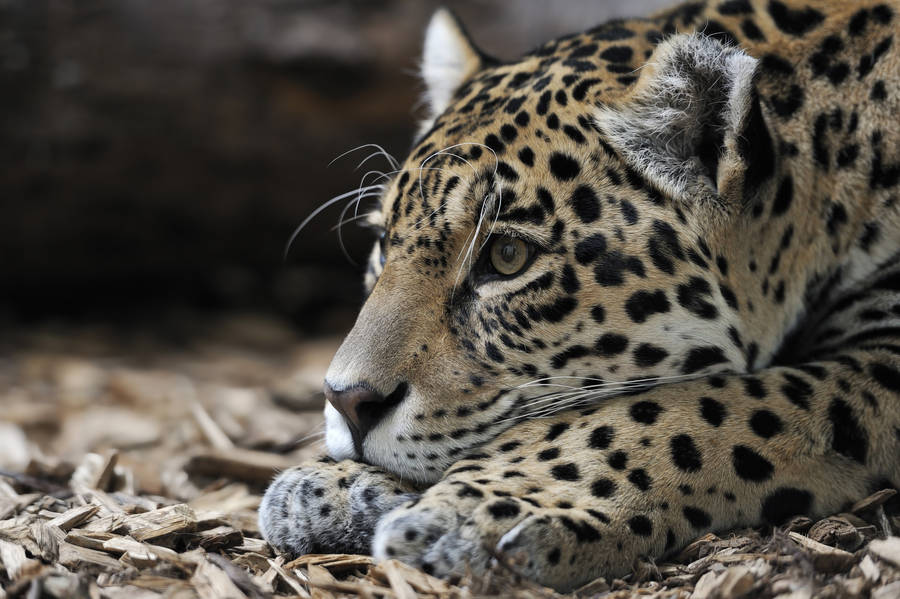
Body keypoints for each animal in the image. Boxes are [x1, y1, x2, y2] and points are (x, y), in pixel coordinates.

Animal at [260, 0, 900, 591]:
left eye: (506, 256)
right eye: (385, 242)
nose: (347, 401)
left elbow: (692, 411)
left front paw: (478, 512)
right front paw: (325, 487)